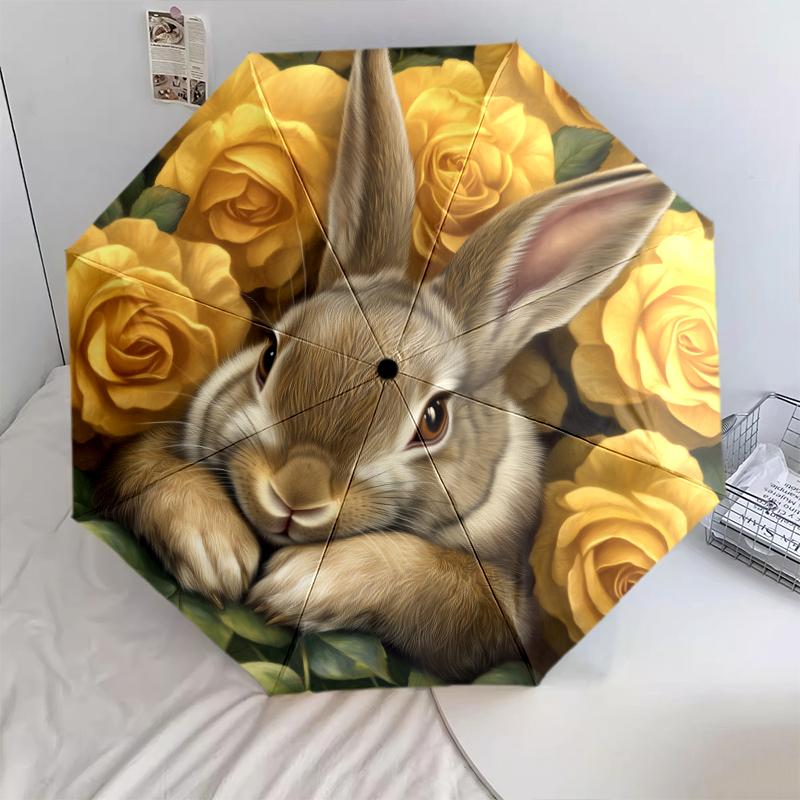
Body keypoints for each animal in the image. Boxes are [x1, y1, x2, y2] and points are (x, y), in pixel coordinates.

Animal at [95, 49, 674, 682]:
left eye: (434, 420)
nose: (295, 495)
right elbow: (145, 464)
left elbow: (445, 590)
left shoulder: (499, 603)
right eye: (268, 355)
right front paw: (214, 548)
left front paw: (300, 583)